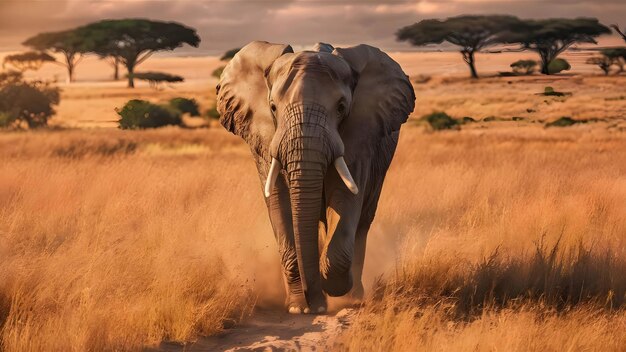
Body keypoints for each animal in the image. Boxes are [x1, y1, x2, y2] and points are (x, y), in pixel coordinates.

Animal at [214, 40, 414, 314]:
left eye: (341, 108)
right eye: (273, 107)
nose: (314, 305)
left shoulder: (359, 138)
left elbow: (345, 199)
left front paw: (332, 288)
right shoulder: (266, 142)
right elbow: (279, 205)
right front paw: (299, 308)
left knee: (362, 222)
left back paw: (354, 295)